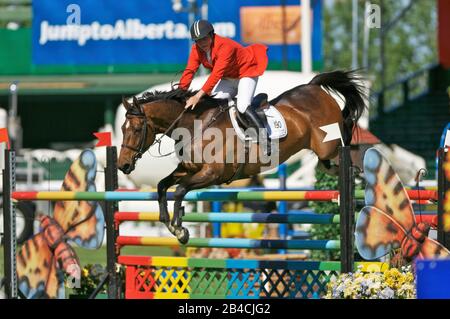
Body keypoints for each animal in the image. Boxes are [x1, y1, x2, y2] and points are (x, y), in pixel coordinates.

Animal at [118, 70, 366, 245]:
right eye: (122, 128)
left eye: (137, 129)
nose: (123, 165)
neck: (195, 125)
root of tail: (314, 87)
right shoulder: (187, 169)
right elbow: (162, 185)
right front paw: (169, 224)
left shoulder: (212, 174)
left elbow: (179, 191)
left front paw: (180, 229)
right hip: (323, 155)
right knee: (330, 165)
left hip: (328, 145)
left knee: (349, 146)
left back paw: (359, 175)